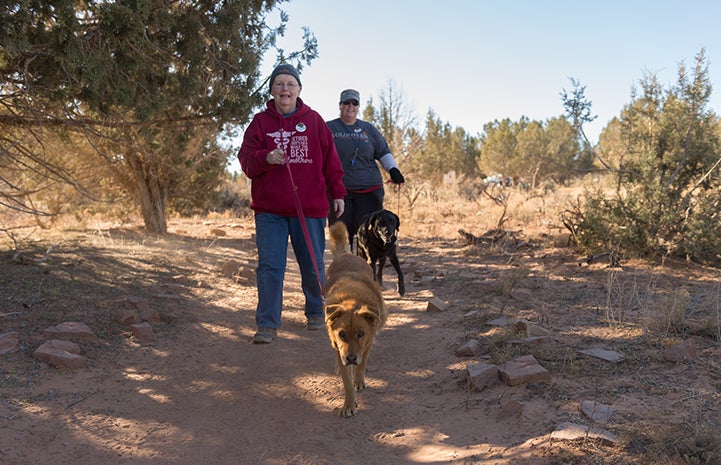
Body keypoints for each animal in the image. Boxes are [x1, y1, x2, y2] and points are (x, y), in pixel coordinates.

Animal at [324, 221, 386, 416]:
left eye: (361, 334)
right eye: (342, 334)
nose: (350, 358)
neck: (352, 300)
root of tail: (346, 254)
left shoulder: (368, 340)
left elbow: (362, 362)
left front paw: (358, 380)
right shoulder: (339, 346)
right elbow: (346, 382)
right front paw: (349, 405)